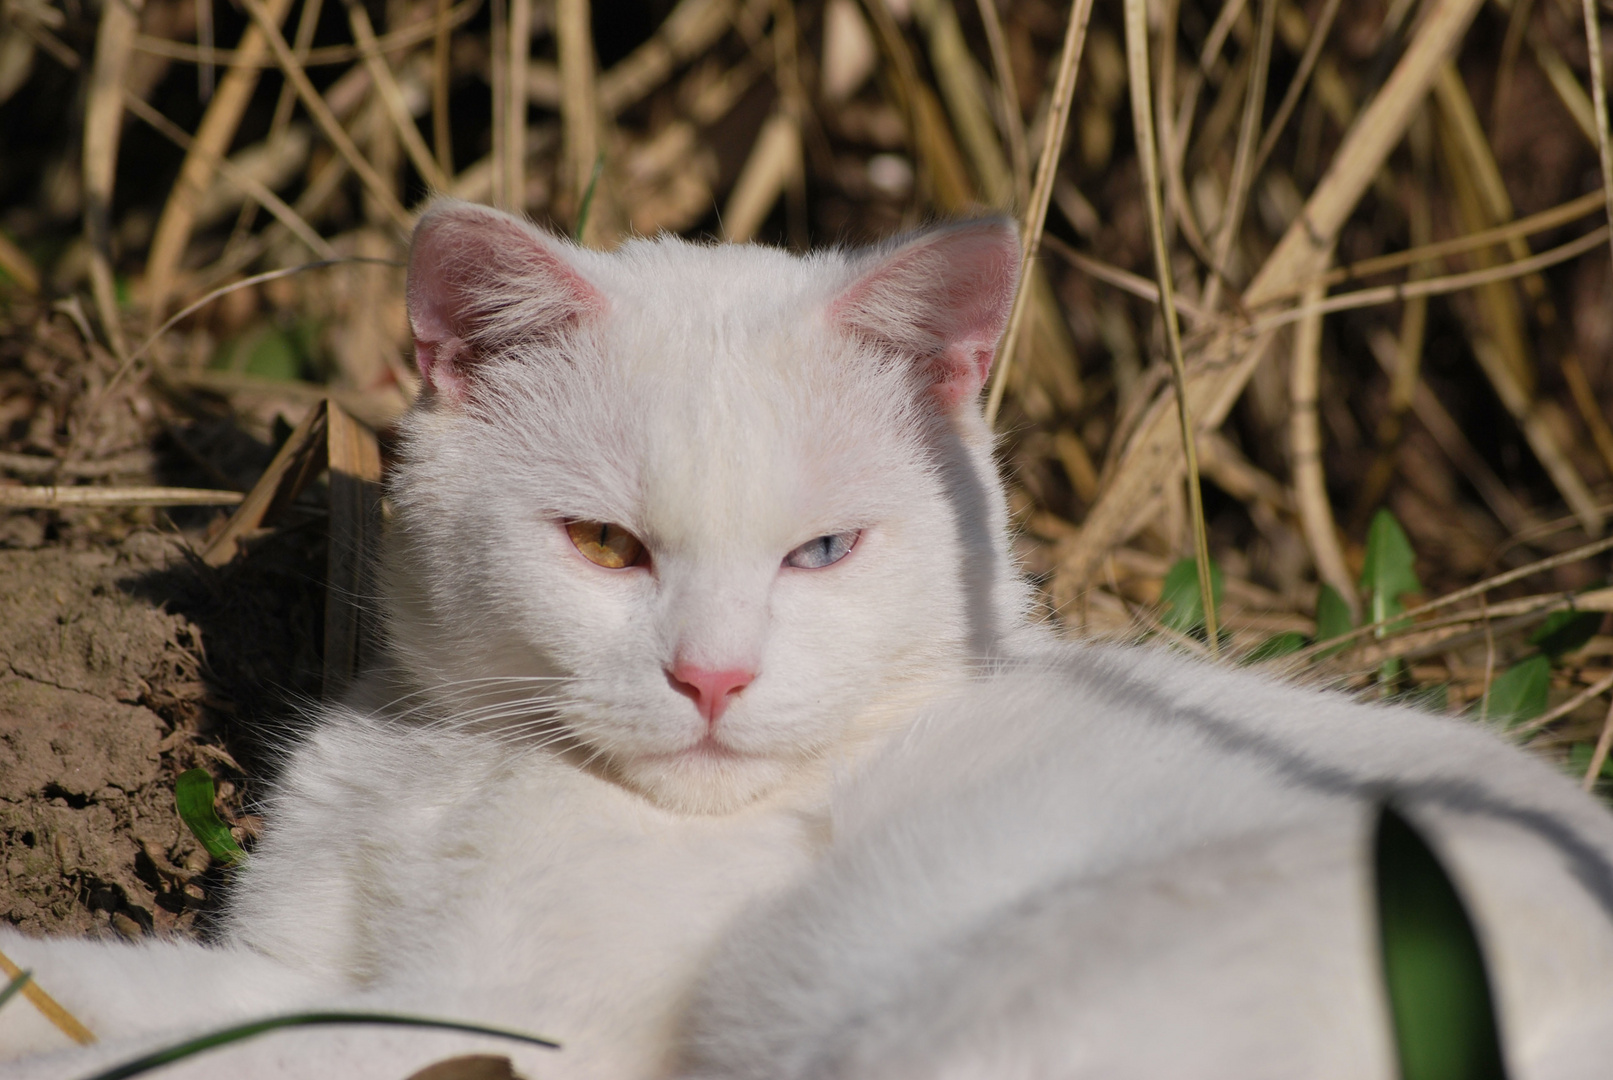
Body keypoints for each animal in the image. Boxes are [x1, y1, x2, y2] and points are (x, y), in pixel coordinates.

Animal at [3, 199, 1613, 1076]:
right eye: (606, 547)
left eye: (821, 554)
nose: (712, 677)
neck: (454, 771)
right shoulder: (299, 965)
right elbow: (122, 995)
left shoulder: (485, 1036)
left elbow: (210, 1055)